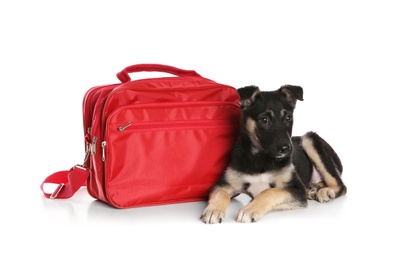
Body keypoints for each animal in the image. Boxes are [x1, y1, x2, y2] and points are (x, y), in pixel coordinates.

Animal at [201, 85, 346, 223]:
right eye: (264, 120)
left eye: (288, 118)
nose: (286, 149)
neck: (261, 157)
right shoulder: (224, 184)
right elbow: (220, 194)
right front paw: (213, 210)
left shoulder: (296, 190)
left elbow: (269, 192)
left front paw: (249, 210)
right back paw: (312, 189)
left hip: (309, 139)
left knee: (341, 186)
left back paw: (325, 191)